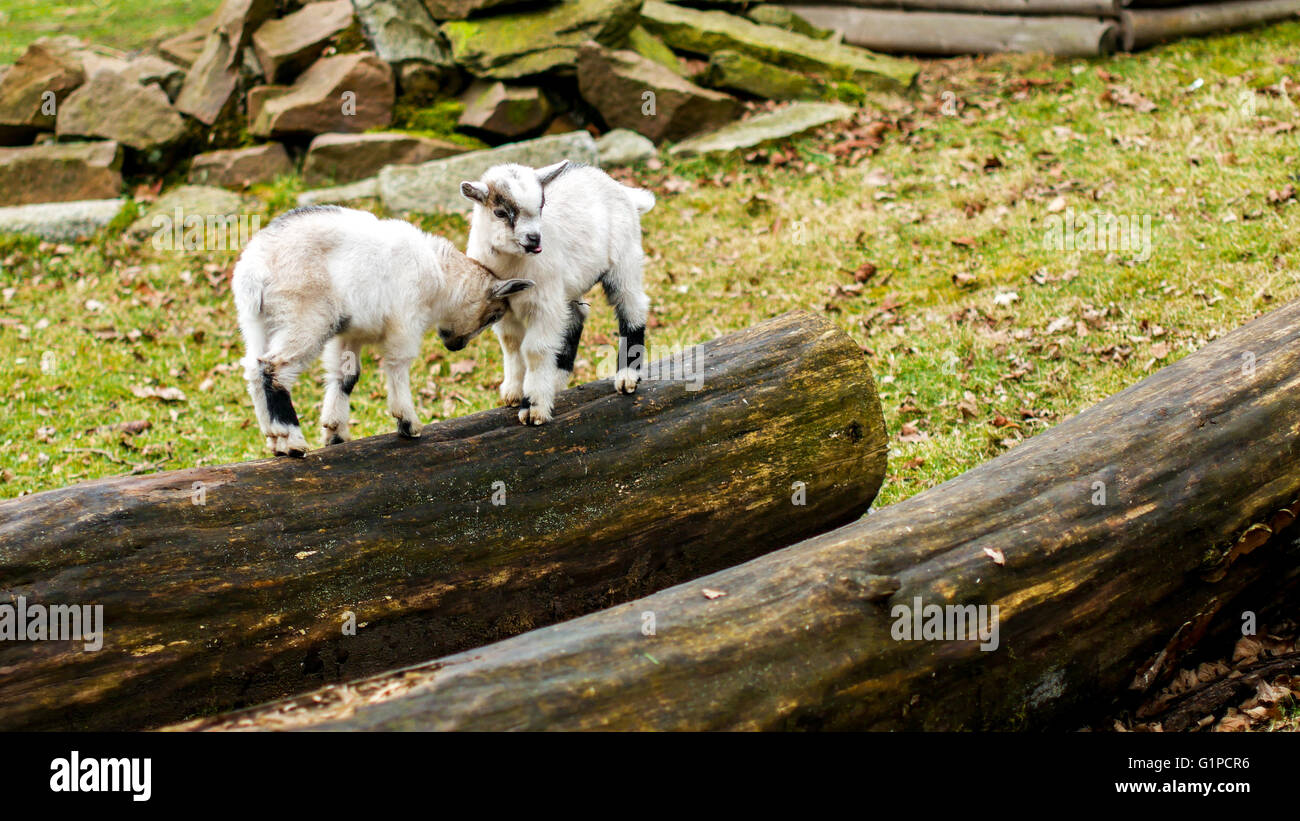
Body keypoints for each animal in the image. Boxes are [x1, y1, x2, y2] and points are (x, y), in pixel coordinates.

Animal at [232, 205, 532, 456]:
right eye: (493, 315)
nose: (455, 346)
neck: (439, 276)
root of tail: (255, 267)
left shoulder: (349, 333)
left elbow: (346, 376)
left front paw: (335, 433)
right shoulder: (404, 325)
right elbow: (398, 365)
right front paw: (408, 423)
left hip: (257, 322)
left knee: (253, 369)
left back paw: (275, 440)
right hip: (304, 317)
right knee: (275, 368)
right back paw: (292, 440)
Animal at [461, 160, 655, 425]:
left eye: (541, 206)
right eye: (499, 212)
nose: (534, 238)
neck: (511, 264)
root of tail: (623, 190)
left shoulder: (544, 304)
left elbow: (534, 349)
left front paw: (533, 409)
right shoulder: (505, 308)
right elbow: (511, 344)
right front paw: (514, 392)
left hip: (625, 261)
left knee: (632, 307)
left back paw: (627, 377)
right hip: (569, 288)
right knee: (576, 317)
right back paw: (555, 378)